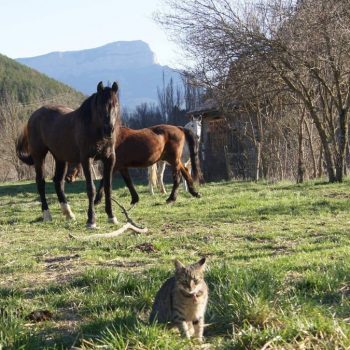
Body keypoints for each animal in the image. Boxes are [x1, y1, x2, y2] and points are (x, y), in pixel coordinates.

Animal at [15, 81, 121, 228]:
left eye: (115, 104)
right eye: (100, 106)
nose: (109, 130)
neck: (94, 128)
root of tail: (35, 115)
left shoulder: (110, 159)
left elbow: (107, 188)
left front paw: (111, 216)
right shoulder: (86, 159)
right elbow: (91, 189)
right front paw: (91, 221)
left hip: (60, 158)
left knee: (58, 182)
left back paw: (69, 214)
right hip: (39, 155)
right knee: (41, 183)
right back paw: (47, 214)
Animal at [66, 124, 201, 204]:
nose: (68, 178)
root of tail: (179, 128)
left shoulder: (114, 166)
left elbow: (104, 181)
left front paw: (96, 200)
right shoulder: (122, 167)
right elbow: (128, 182)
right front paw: (135, 199)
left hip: (173, 160)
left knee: (177, 177)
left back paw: (171, 198)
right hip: (173, 160)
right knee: (185, 171)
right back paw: (194, 192)